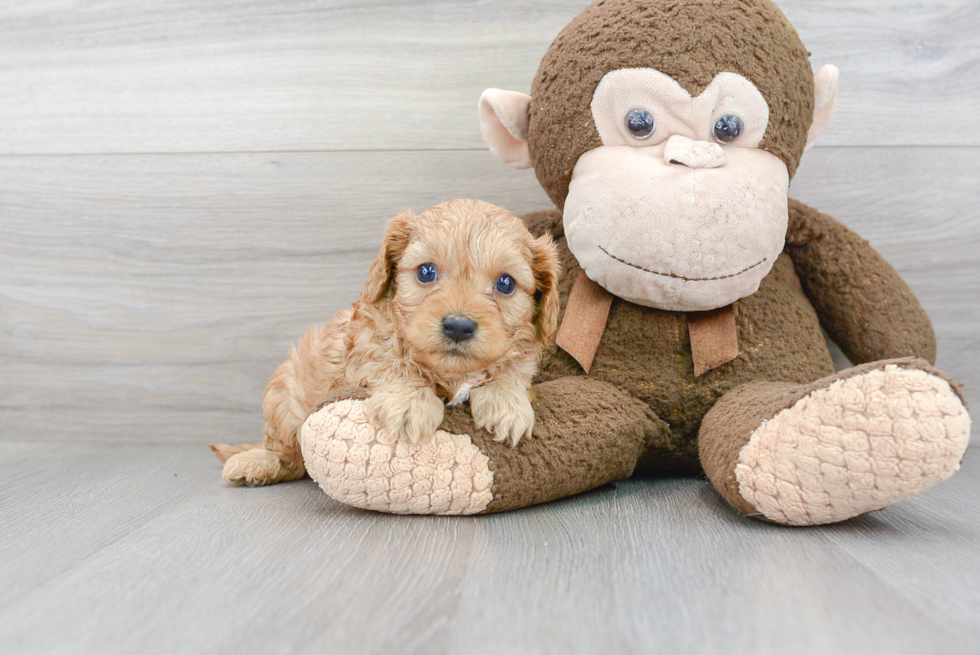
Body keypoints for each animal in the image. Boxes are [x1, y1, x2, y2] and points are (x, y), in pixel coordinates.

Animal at [211, 200, 564, 486]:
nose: (458, 327)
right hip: (284, 395)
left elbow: (512, 368)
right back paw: (256, 463)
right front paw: (409, 403)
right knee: (289, 456)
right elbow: (390, 360)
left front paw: (506, 404)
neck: (451, 374)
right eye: (426, 272)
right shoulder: (364, 342)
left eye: (506, 283)